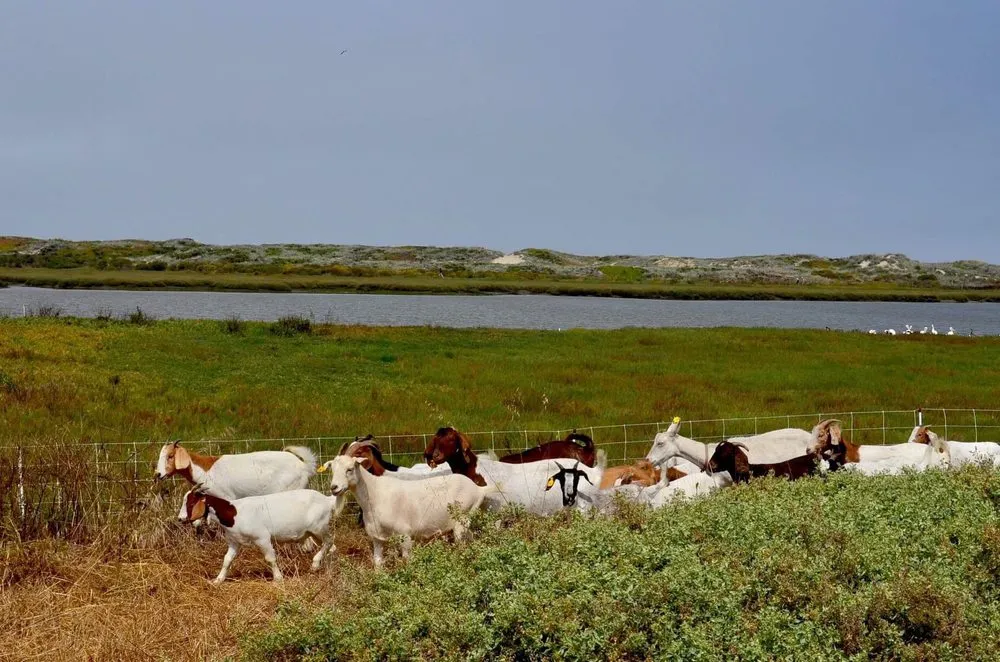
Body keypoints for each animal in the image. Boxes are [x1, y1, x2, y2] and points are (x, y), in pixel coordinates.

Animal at [179, 488, 341, 584]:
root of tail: (327, 500)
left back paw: (315, 564)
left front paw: (278, 578)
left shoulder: (262, 538)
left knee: (329, 541)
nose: (180, 519)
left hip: (319, 528)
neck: (234, 513)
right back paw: (326, 566)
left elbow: (270, 558)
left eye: (191, 503)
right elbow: (227, 560)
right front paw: (218, 580)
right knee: (331, 546)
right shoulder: (234, 541)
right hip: (314, 532)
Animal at [322, 454, 494, 567]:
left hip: (462, 518)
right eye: (332, 471)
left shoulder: (404, 534)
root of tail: (479, 489)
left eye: (350, 469)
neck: (374, 493)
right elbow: (377, 563)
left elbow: (407, 561)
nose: (334, 488)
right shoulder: (377, 538)